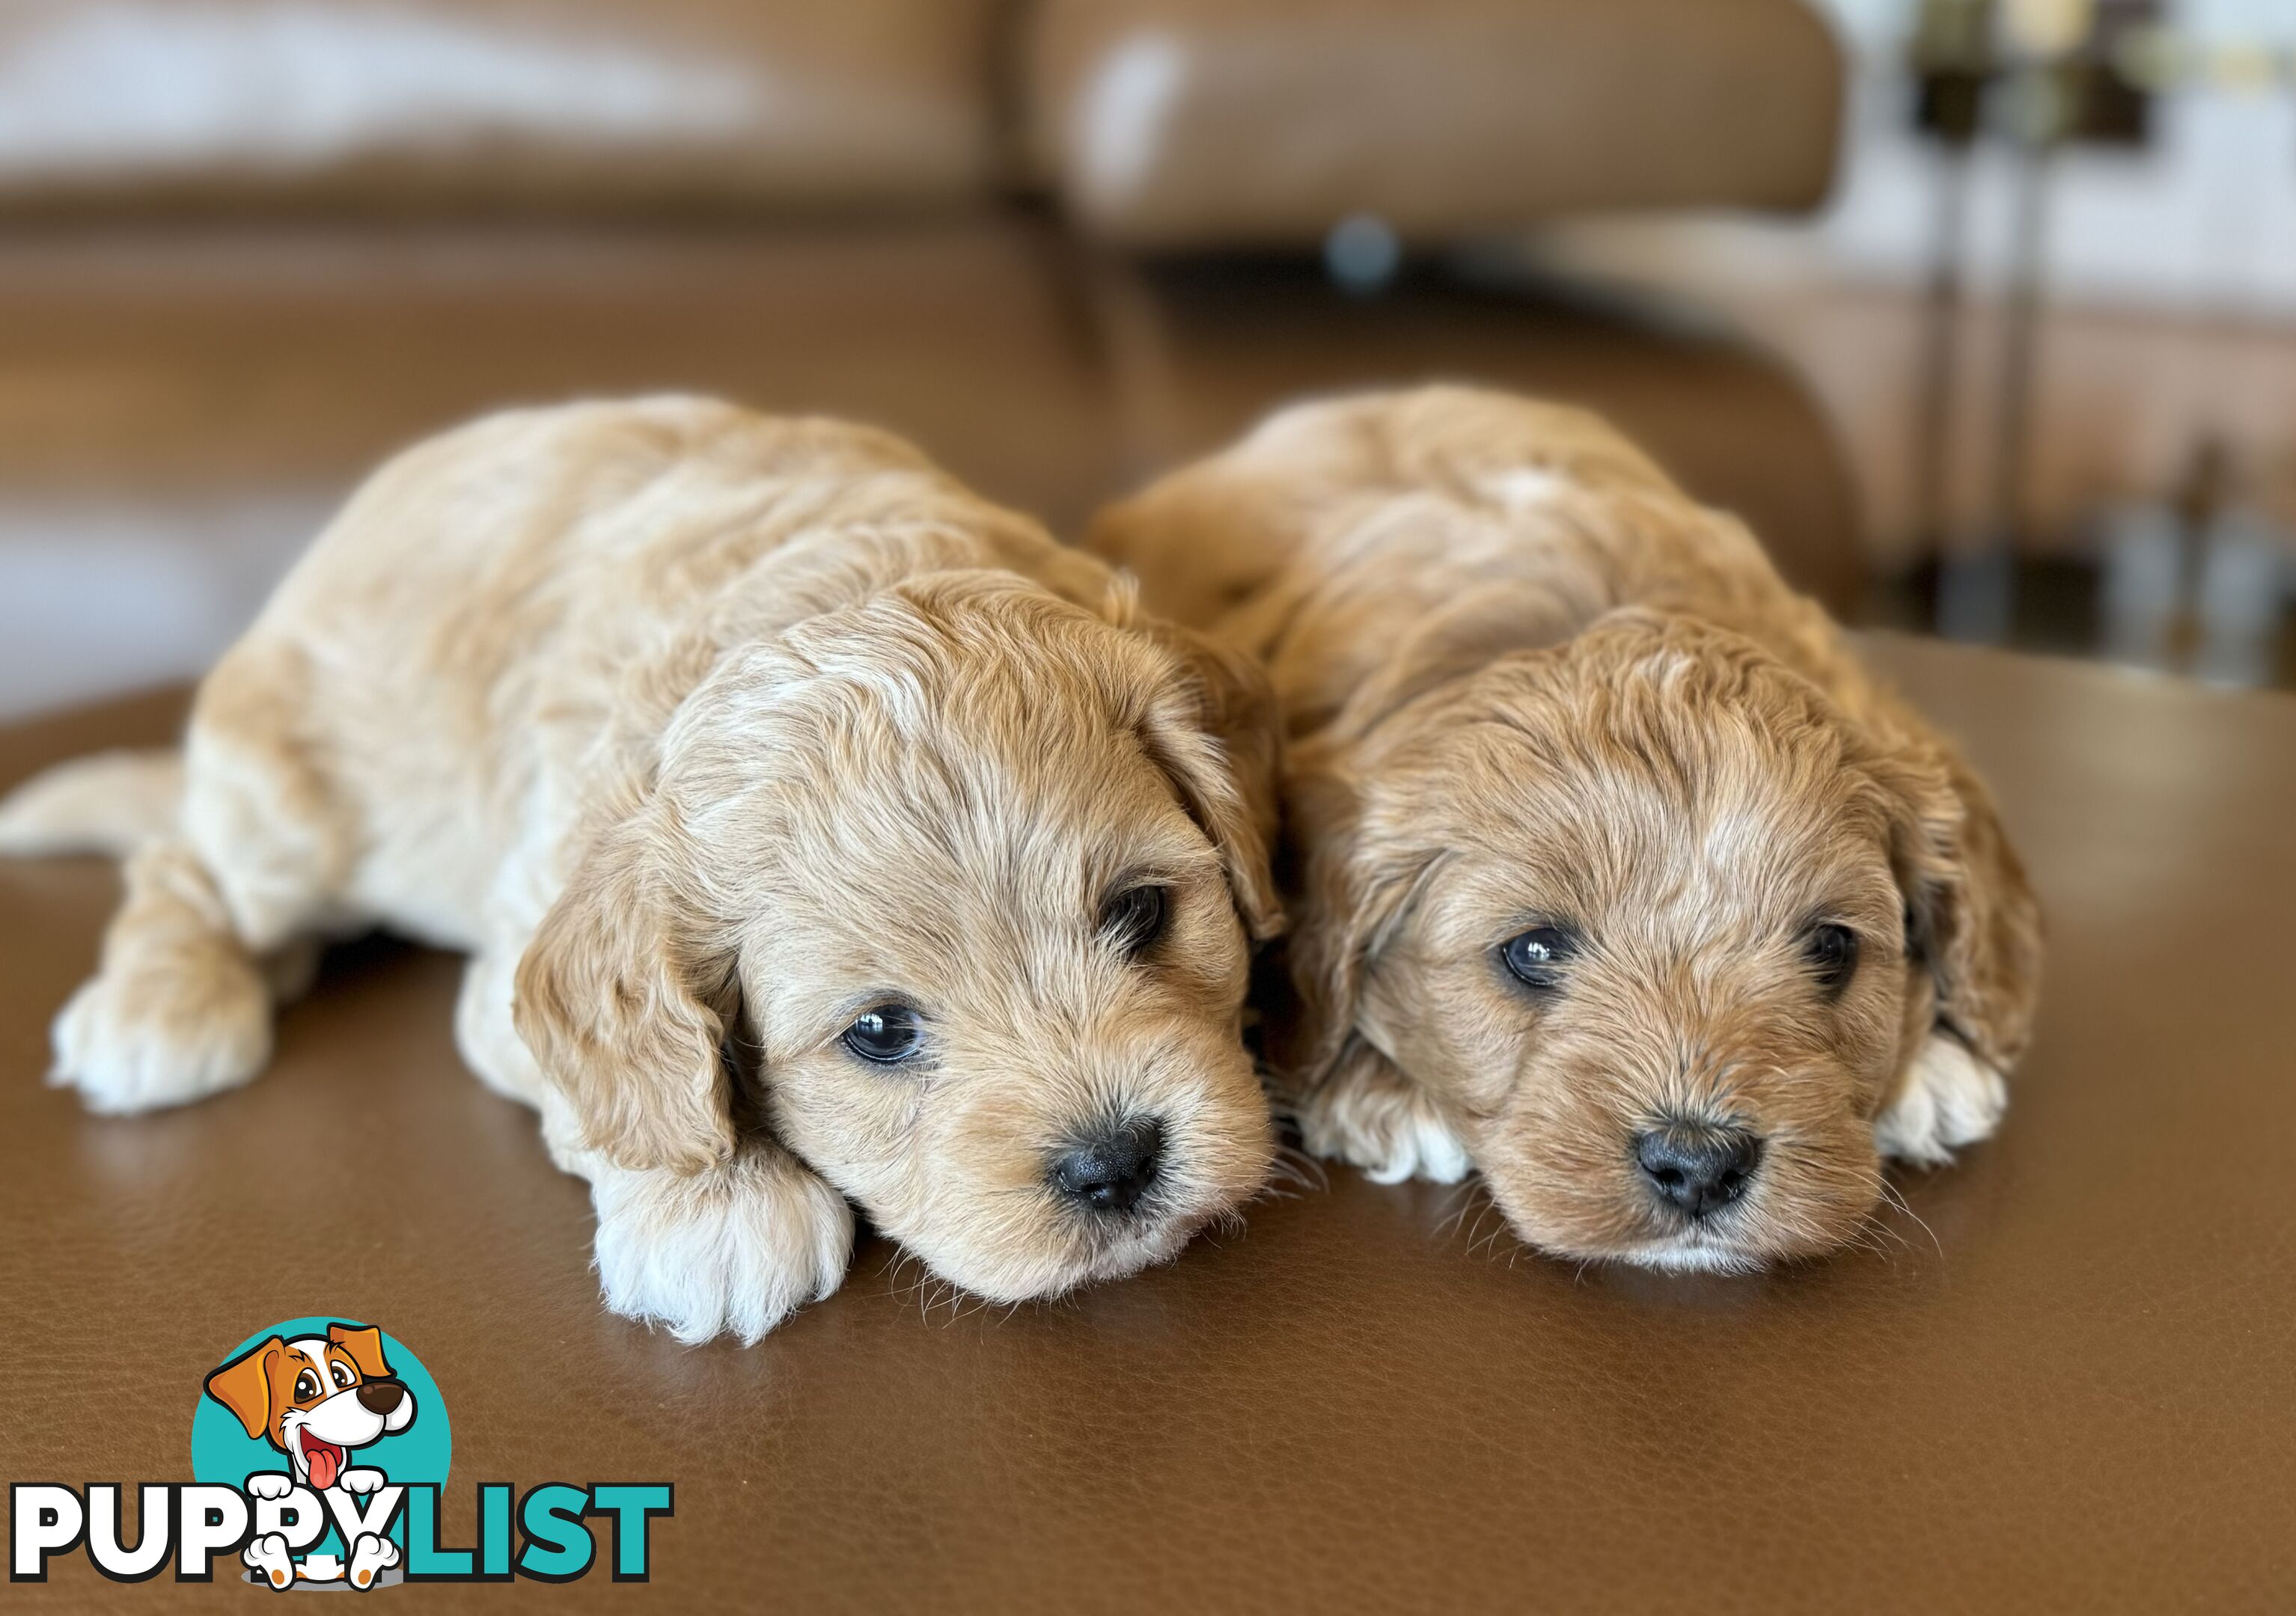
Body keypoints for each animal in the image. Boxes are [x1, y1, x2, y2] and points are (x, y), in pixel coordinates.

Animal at [0, 401, 1286, 1340]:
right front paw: (718, 1209)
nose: (1116, 1164)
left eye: (1142, 912)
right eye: (879, 1032)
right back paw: (161, 1010)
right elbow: (626, 1108)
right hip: (290, 815)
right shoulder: (515, 957)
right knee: (181, 858)